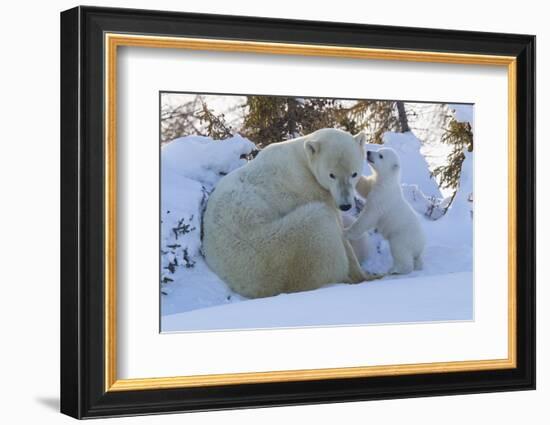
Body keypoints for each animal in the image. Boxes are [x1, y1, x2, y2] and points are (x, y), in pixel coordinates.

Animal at [203, 127, 380, 296]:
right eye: (331, 175)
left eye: (354, 174)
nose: (345, 206)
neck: (302, 158)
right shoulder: (309, 188)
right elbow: (339, 229)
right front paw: (365, 274)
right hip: (282, 244)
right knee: (320, 224)